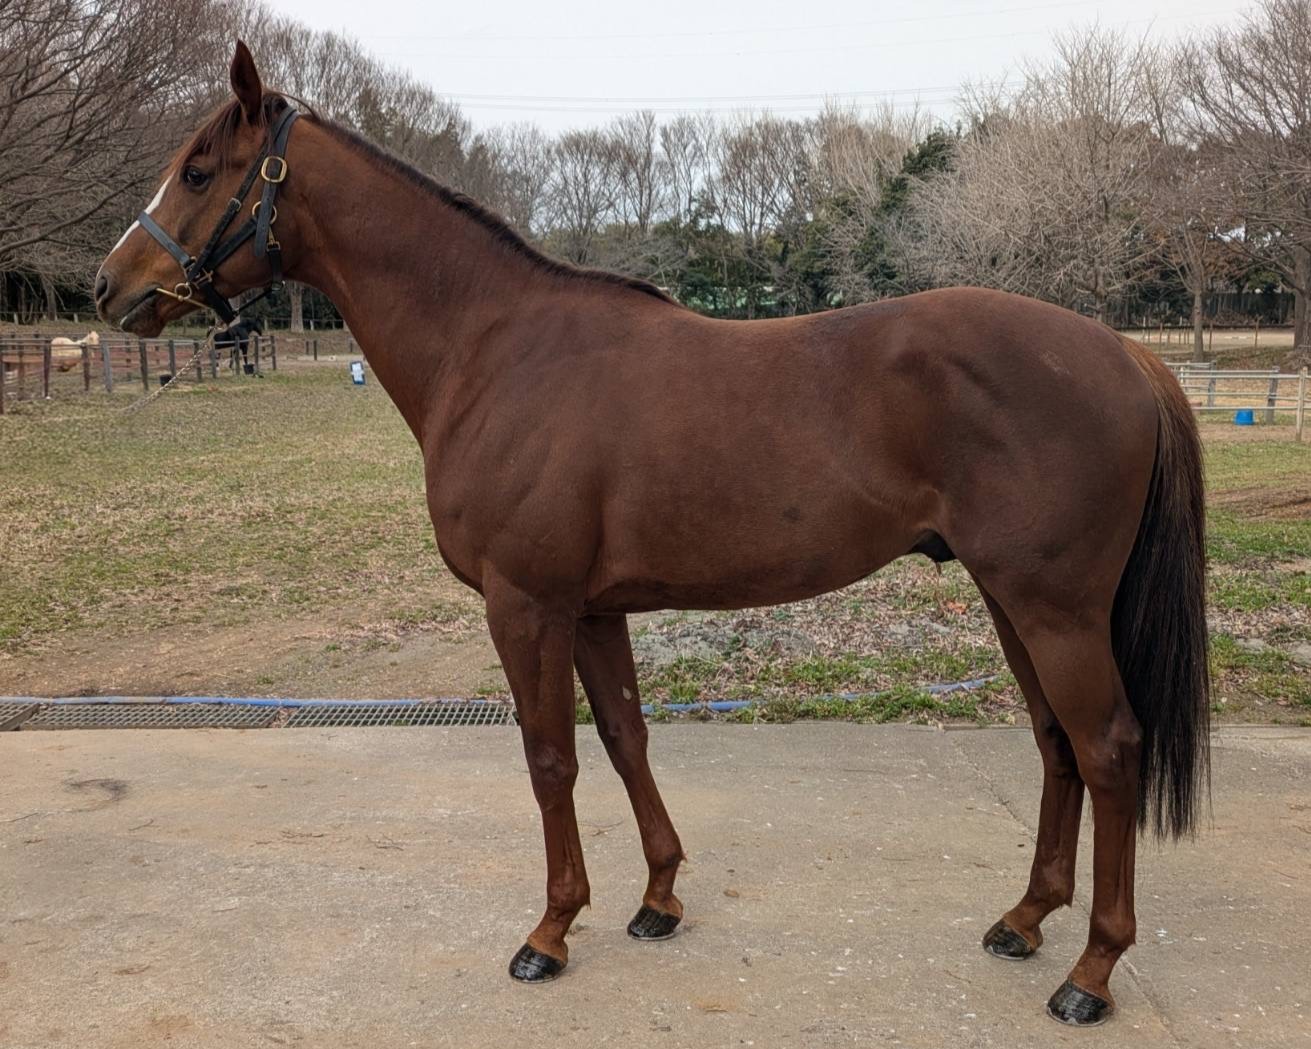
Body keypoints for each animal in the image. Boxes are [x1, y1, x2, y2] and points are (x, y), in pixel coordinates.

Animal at [93, 41, 1209, 1028]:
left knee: (1108, 749)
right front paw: (658, 897)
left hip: (1055, 607)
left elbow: (550, 757)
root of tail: (1123, 354)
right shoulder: (593, 609)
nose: (112, 286)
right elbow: (625, 738)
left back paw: (1091, 971)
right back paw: (1023, 919)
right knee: (1056, 744)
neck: (496, 348)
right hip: (1011, 598)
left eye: (200, 169)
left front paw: (549, 930)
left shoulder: (526, 605)